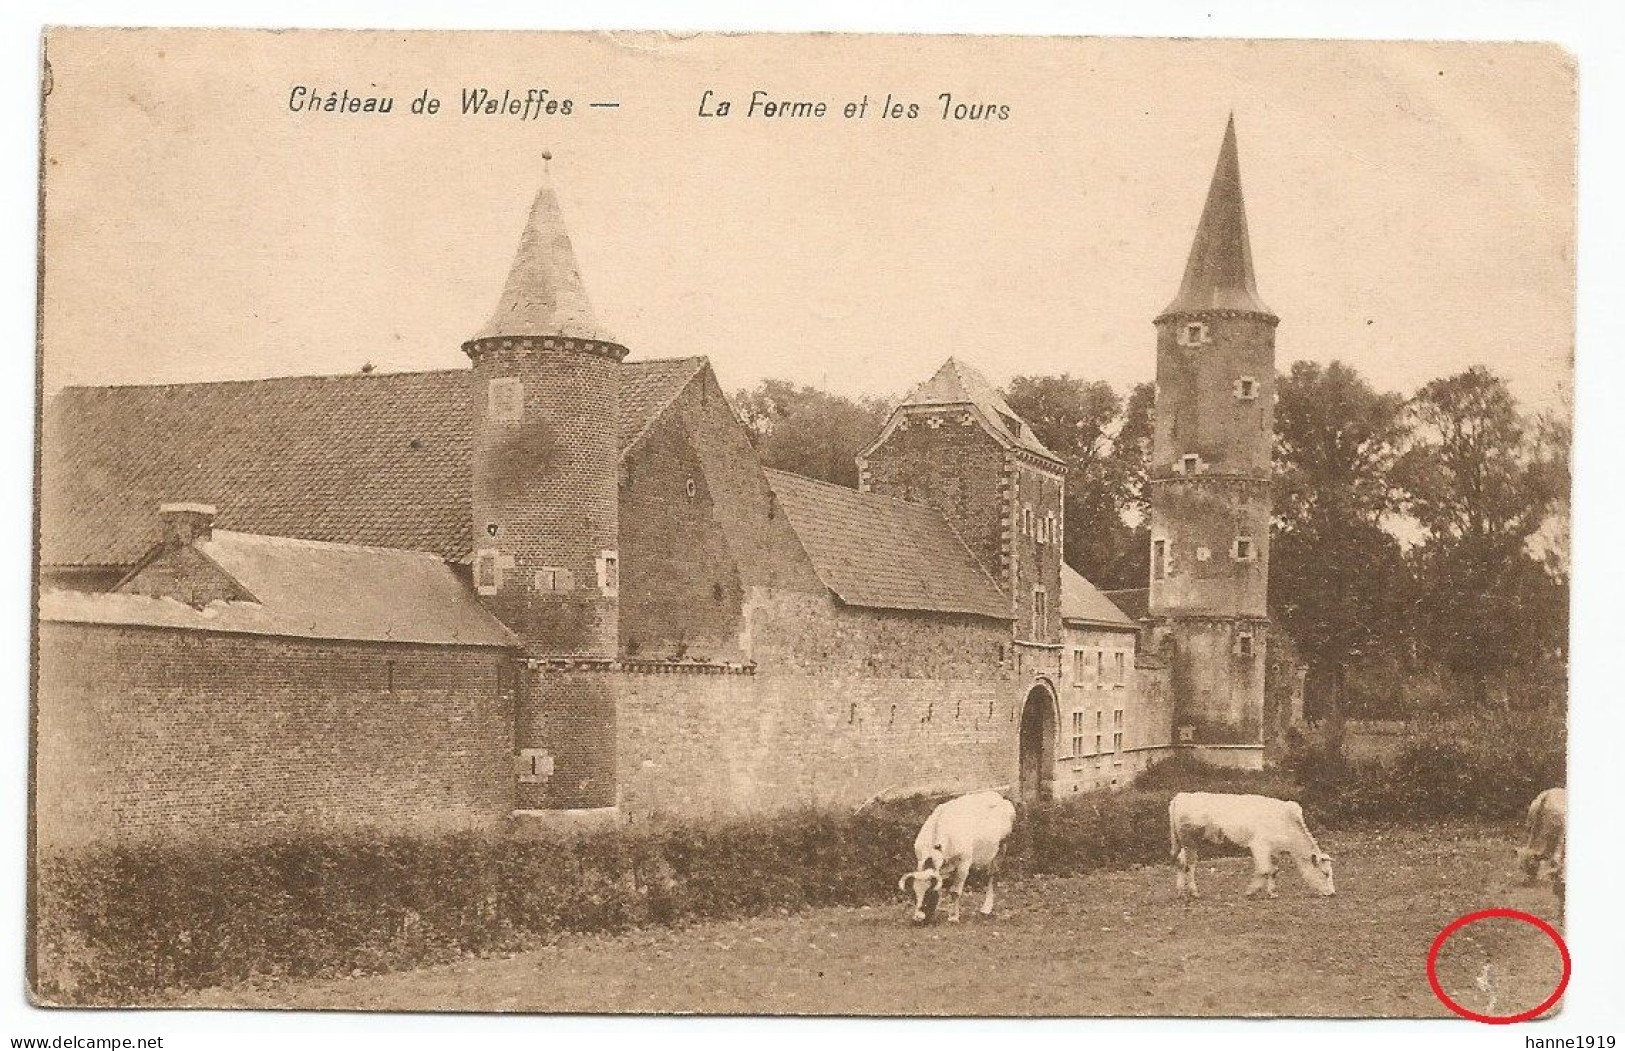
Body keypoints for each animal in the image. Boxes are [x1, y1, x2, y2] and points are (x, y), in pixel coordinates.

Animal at [903, 792, 1014, 922]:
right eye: (914, 894)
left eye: (929, 893)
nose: (918, 918)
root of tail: (998, 796)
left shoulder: (964, 864)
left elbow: (955, 892)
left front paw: (954, 917)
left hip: (1001, 848)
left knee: (991, 876)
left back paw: (986, 908)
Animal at [1176, 792, 1339, 903]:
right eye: (1325, 873)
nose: (1332, 893)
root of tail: (1183, 796)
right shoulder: (1259, 846)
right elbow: (1264, 870)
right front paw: (1251, 891)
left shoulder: (1275, 850)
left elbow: (1273, 871)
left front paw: (1272, 893)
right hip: (1190, 842)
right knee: (1189, 865)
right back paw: (1193, 893)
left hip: (1186, 845)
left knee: (1182, 863)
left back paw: (1181, 892)